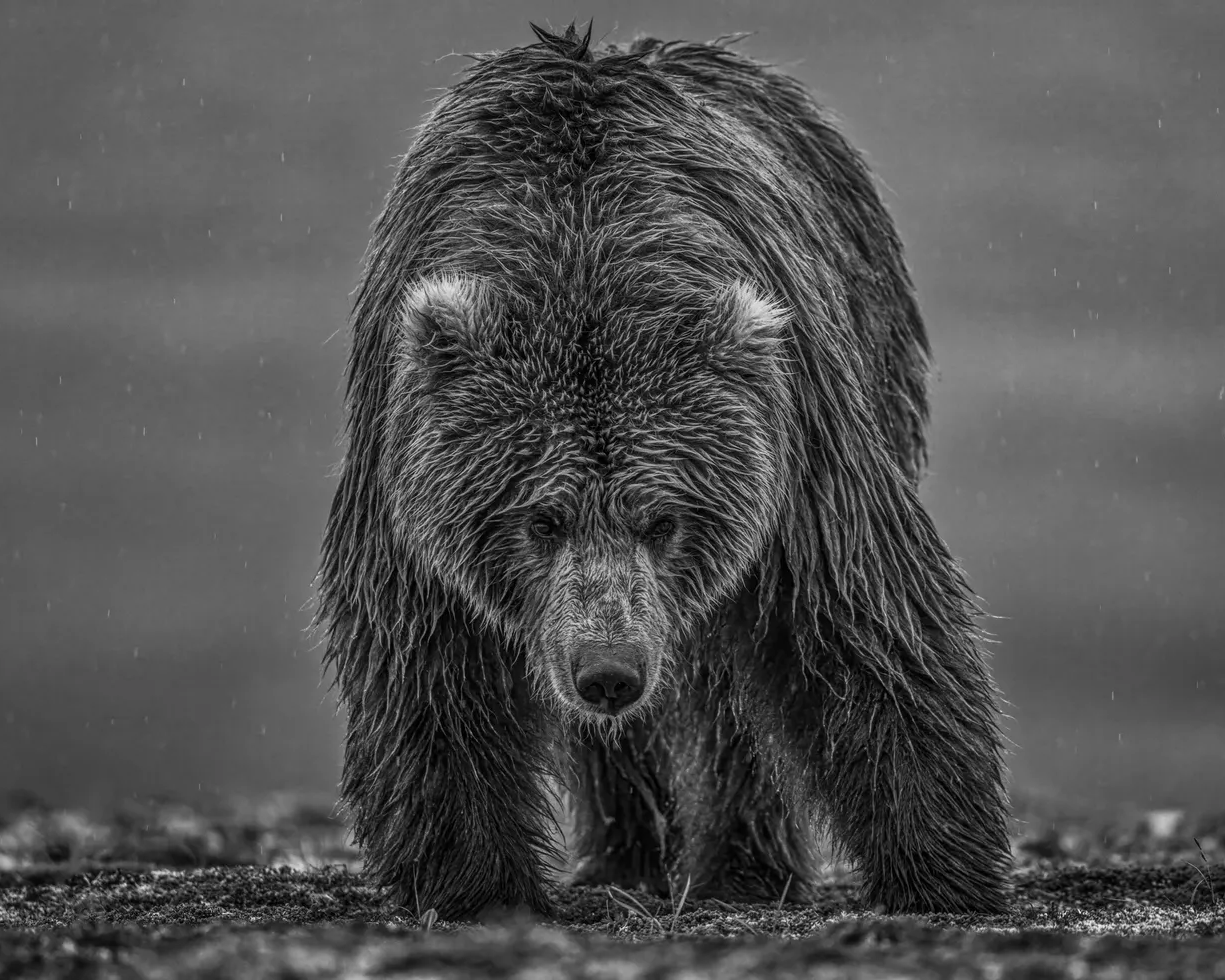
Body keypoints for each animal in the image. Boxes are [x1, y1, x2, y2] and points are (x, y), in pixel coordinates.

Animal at [317, 22, 1012, 921]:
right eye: (540, 517)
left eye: (662, 517)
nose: (608, 672)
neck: (580, 246)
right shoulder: (407, 467)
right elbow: (428, 661)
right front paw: (477, 881)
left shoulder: (795, 439)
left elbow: (863, 614)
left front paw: (941, 872)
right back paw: (627, 858)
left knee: (729, 698)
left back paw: (744, 865)